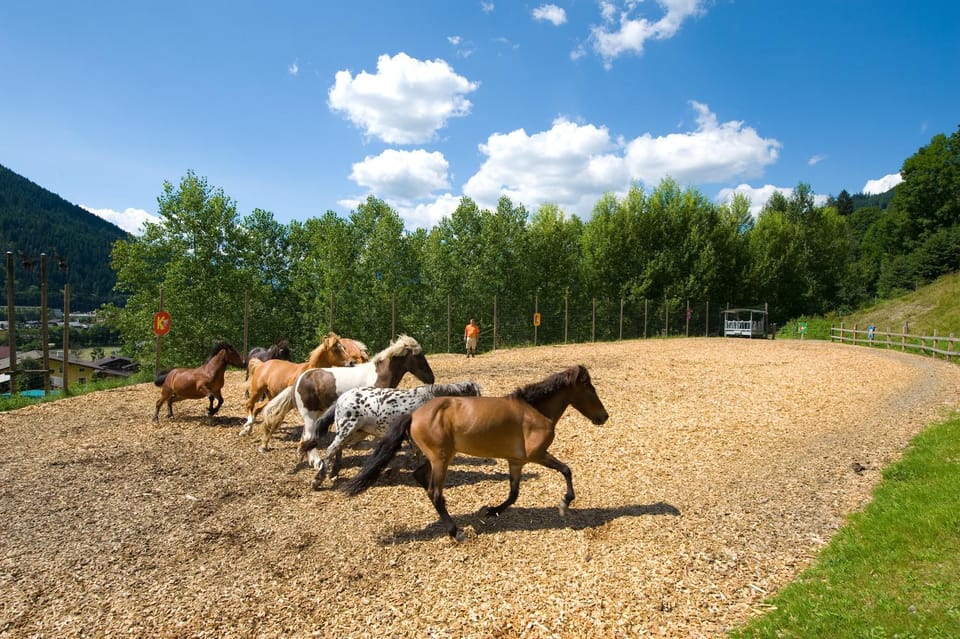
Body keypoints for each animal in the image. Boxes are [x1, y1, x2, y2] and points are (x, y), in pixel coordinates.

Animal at [303, 380, 482, 490]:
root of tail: (342, 398)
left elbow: (415, 456)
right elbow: (410, 455)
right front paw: (391, 472)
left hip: (357, 433)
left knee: (338, 448)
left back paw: (334, 471)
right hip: (347, 429)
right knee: (331, 449)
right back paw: (318, 479)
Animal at [343, 364, 609, 540]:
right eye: (591, 388)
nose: (604, 417)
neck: (536, 410)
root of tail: (414, 414)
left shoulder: (516, 461)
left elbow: (514, 494)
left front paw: (491, 510)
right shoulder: (537, 455)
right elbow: (566, 470)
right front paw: (565, 503)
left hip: (438, 457)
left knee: (421, 478)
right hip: (441, 459)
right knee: (435, 492)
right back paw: (455, 532)